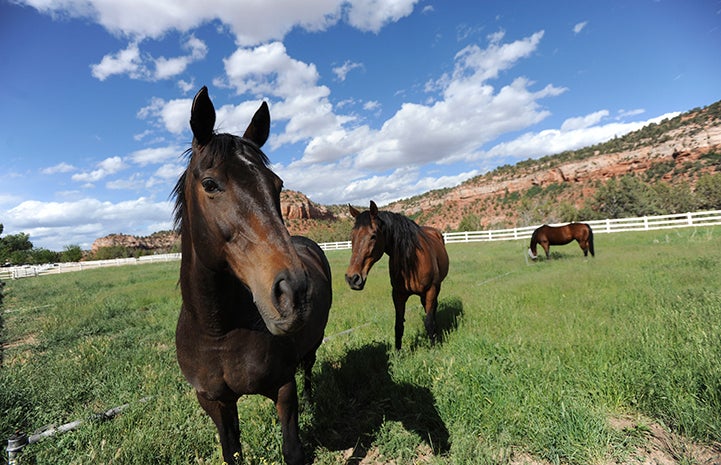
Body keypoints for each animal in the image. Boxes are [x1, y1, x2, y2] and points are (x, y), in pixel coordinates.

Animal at [174, 87, 332, 464]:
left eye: (277, 185)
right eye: (210, 183)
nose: (294, 292)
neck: (218, 331)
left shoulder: (283, 388)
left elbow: (293, 450)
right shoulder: (215, 402)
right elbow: (232, 451)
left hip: (312, 344)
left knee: (309, 368)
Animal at [344, 199, 450, 348]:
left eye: (373, 236)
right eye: (352, 236)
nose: (352, 278)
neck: (411, 261)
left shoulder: (431, 290)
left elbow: (428, 322)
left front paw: (434, 347)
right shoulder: (398, 295)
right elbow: (398, 326)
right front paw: (398, 352)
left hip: (437, 286)